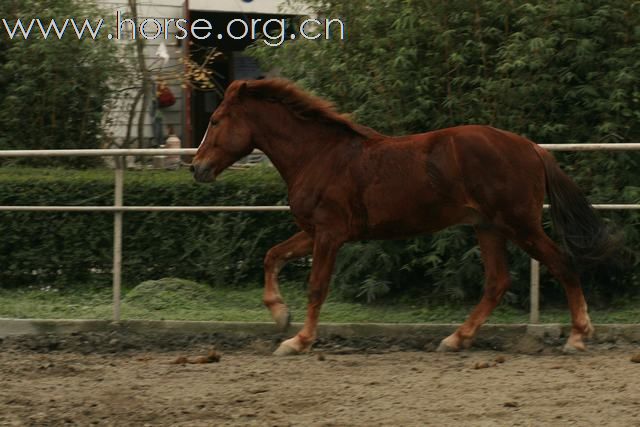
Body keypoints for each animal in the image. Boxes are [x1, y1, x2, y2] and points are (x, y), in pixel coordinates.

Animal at [191, 78, 620, 356]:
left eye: (215, 120)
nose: (197, 169)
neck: (319, 156)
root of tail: (531, 147)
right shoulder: (313, 232)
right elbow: (271, 256)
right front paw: (281, 316)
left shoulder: (329, 234)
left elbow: (316, 287)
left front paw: (297, 341)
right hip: (488, 227)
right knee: (497, 282)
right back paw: (457, 339)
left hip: (519, 225)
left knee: (561, 263)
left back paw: (578, 335)